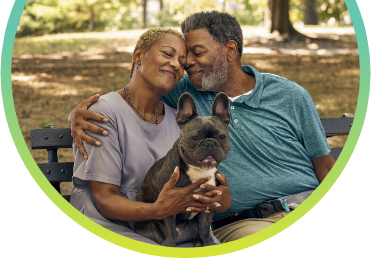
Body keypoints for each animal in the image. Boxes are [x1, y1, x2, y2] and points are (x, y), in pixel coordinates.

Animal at [135, 92, 231, 247]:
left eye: (222, 137)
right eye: (195, 137)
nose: (210, 143)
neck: (198, 170)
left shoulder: (208, 204)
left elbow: (204, 229)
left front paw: (207, 244)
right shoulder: (168, 203)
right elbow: (171, 229)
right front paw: (169, 244)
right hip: (151, 226)